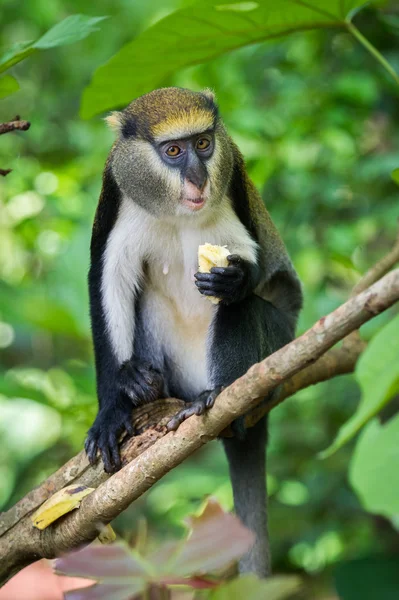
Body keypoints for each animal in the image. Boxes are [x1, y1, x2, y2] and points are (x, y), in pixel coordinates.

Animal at [85, 88, 304, 576]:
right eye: (173, 151)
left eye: (203, 144)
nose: (199, 179)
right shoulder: (116, 199)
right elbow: (109, 284)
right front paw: (112, 409)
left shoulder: (232, 184)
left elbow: (252, 274)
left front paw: (236, 281)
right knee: (145, 300)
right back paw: (147, 388)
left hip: (280, 340)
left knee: (245, 310)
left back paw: (219, 398)